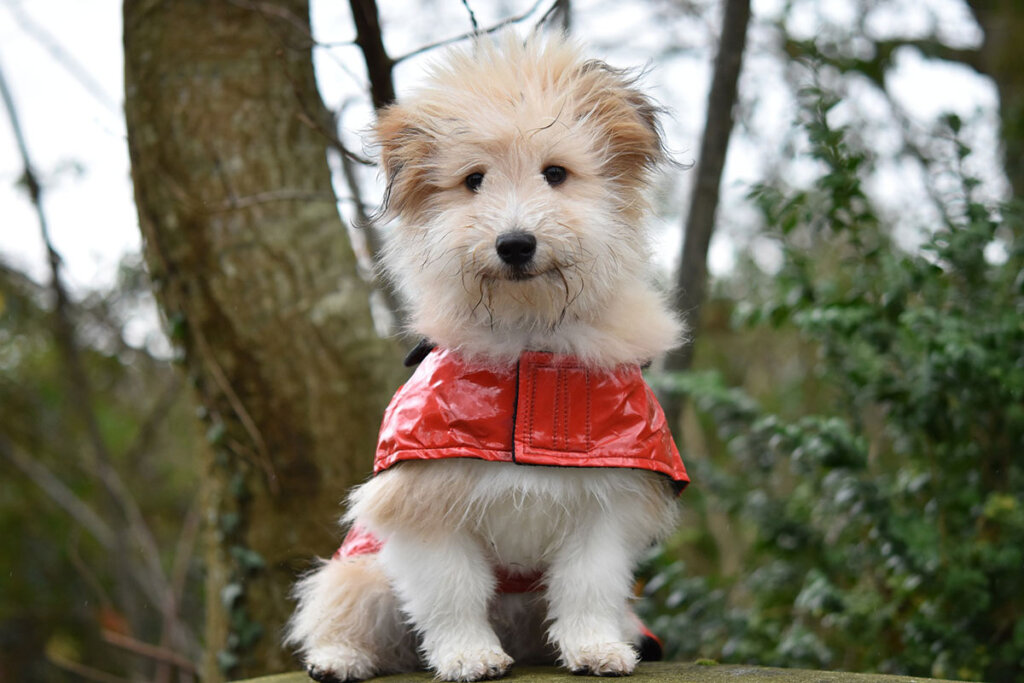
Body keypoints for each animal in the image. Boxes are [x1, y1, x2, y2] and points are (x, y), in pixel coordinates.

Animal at [286, 34, 688, 679]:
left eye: (556, 173)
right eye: (473, 180)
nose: (515, 243)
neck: (528, 344)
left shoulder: (603, 507)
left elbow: (588, 587)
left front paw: (595, 647)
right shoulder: (426, 507)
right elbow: (452, 593)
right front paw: (468, 655)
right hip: (361, 571)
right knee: (342, 615)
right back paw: (340, 658)